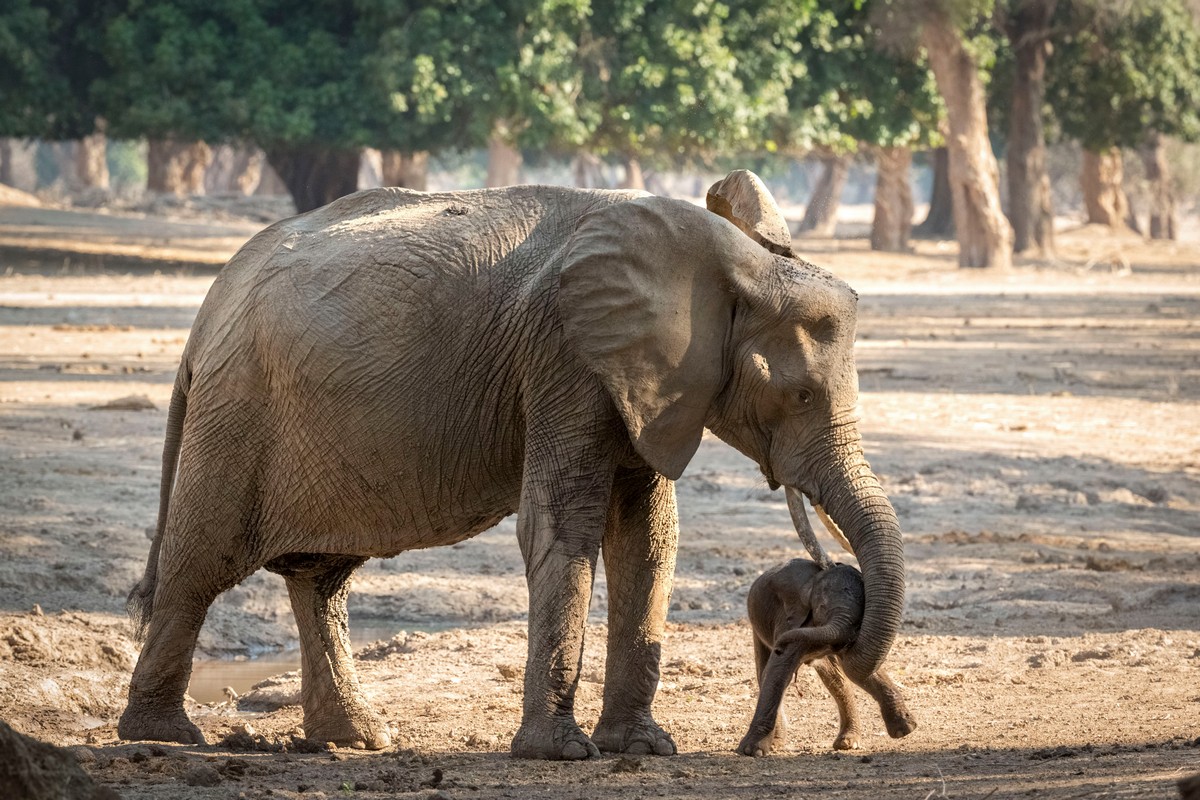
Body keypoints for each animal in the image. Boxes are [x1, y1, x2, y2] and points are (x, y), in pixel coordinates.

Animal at [734, 556, 912, 758]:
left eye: (859, 619)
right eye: (822, 607)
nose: (778, 646)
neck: (815, 583)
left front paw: (906, 728)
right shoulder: (792, 620)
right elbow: (780, 668)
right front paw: (751, 751)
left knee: (835, 677)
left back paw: (848, 742)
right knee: (764, 670)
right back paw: (776, 743)